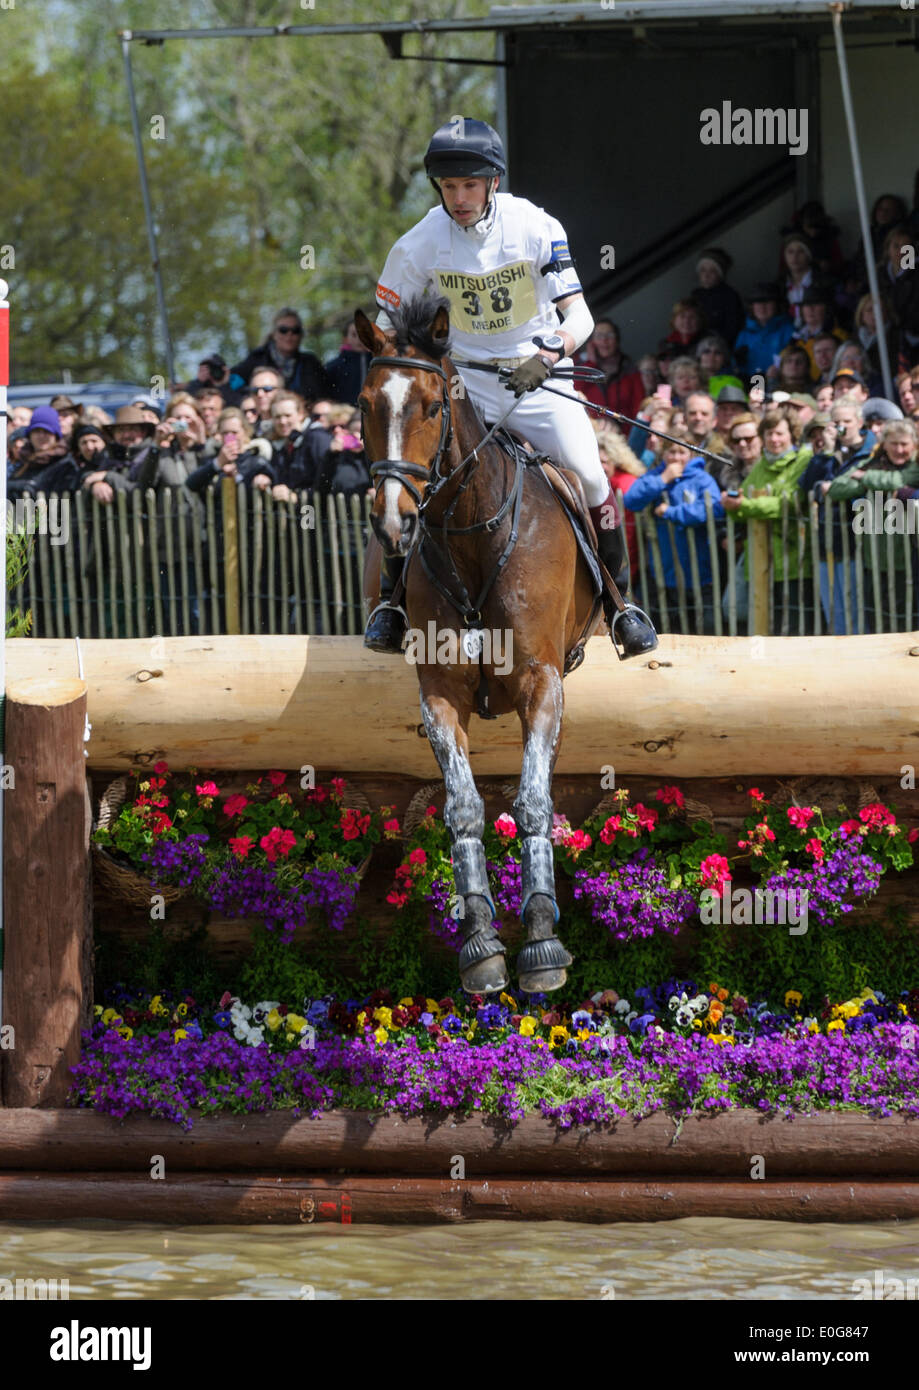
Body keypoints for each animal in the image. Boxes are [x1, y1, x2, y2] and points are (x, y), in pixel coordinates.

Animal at [355, 298, 603, 1000]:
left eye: (431, 405)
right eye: (366, 405)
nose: (394, 522)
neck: (470, 533)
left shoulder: (543, 683)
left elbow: (534, 801)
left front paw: (542, 941)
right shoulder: (439, 693)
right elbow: (464, 807)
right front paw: (482, 944)